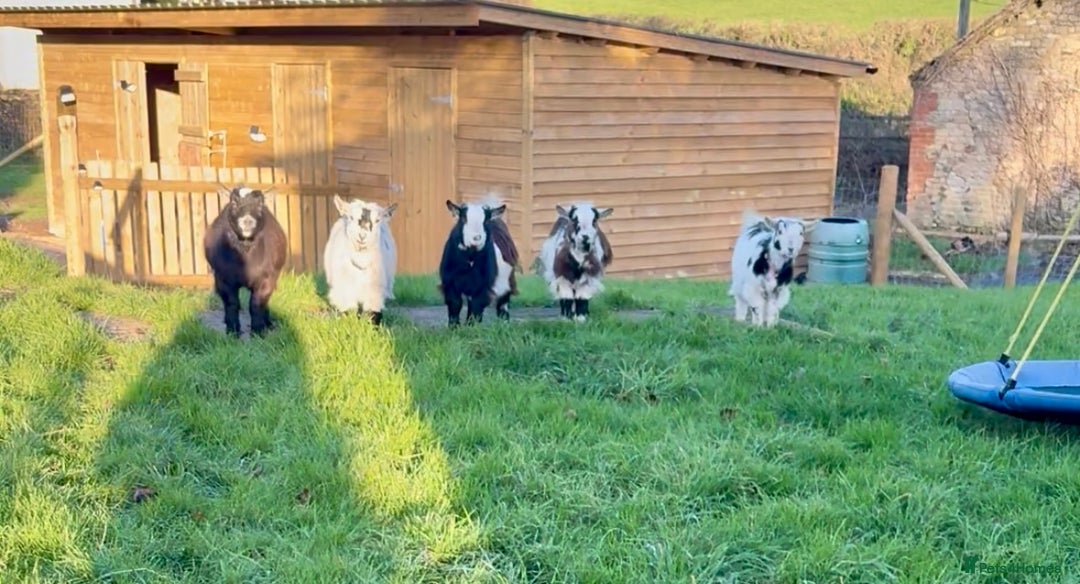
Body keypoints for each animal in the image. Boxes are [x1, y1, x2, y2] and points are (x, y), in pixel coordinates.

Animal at [204, 185, 288, 338]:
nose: (247, 221)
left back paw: (268, 324)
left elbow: (257, 304)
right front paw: (232, 331)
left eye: (260, 204)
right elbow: (231, 303)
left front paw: (258, 331)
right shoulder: (222, 278)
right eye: (234, 203)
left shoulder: (267, 278)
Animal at [323, 195, 398, 327]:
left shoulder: (374, 292)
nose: (362, 236)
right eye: (351, 217)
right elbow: (349, 312)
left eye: (377, 220)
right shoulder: (344, 291)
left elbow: (372, 314)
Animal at [438, 195, 520, 326]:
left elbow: (477, 306)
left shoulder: (483, 285)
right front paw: (454, 327)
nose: (476, 238)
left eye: (485, 221)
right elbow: (455, 303)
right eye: (463, 219)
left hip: (508, 279)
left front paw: (472, 327)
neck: (470, 259)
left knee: (503, 303)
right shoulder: (450, 282)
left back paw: (504, 323)